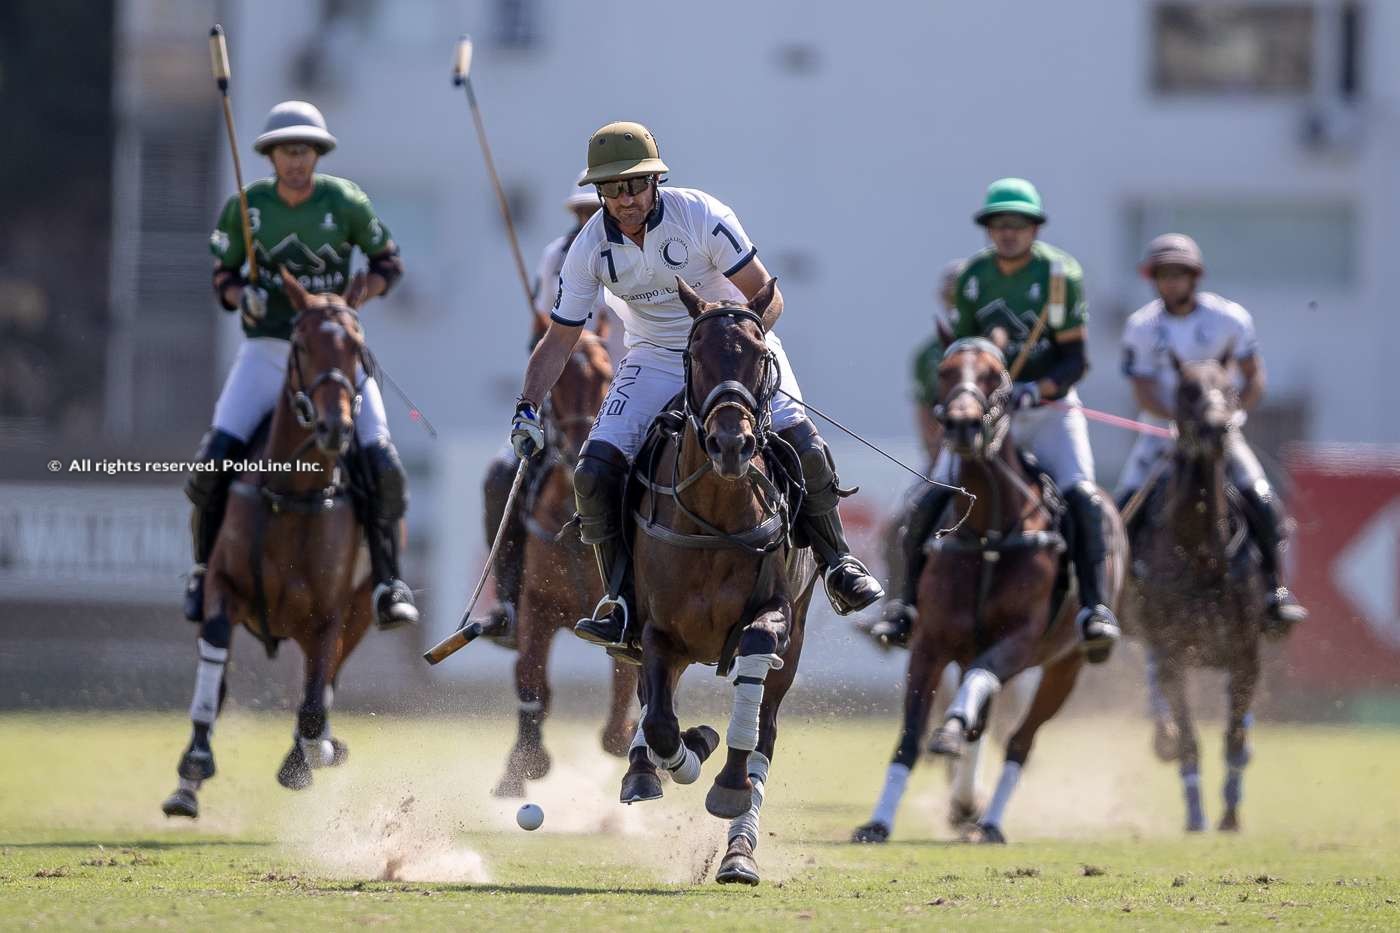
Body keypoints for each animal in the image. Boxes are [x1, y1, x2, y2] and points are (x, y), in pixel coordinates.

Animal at [162, 267, 383, 812]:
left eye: (357, 347)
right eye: (300, 345)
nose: (335, 427)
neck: (293, 493)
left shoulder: (330, 616)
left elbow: (314, 704)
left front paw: (313, 755)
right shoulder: (222, 587)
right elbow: (214, 663)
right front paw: (194, 764)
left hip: (361, 614)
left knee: (323, 687)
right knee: (219, 681)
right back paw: (188, 782)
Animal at [492, 308, 641, 795]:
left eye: (607, 375)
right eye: (557, 386)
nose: (579, 450)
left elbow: (619, 713)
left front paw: (631, 737)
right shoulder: (535, 606)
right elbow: (530, 677)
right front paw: (525, 763)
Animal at [616, 275, 817, 885]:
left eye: (758, 355)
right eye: (696, 354)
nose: (732, 444)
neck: (715, 514)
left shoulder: (776, 614)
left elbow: (754, 670)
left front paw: (727, 783)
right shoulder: (658, 632)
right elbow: (660, 720)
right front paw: (687, 752)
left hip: (793, 647)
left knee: (766, 731)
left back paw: (738, 854)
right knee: (650, 704)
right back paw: (646, 770)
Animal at [851, 340, 1125, 840]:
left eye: (996, 375)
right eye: (944, 371)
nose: (963, 424)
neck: (989, 533)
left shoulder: (1019, 640)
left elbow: (979, 689)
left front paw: (950, 733)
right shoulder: (932, 642)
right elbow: (909, 736)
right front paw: (878, 823)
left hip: (1067, 665)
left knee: (1020, 740)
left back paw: (991, 822)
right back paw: (966, 805)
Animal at [1114, 348, 1271, 829]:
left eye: (1231, 388)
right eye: (1186, 390)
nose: (1218, 428)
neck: (1202, 553)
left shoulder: (1245, 656)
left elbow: (1234, 737)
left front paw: (1230, 816)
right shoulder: (1172, 654)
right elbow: (1189, 740)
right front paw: (1197, 816)